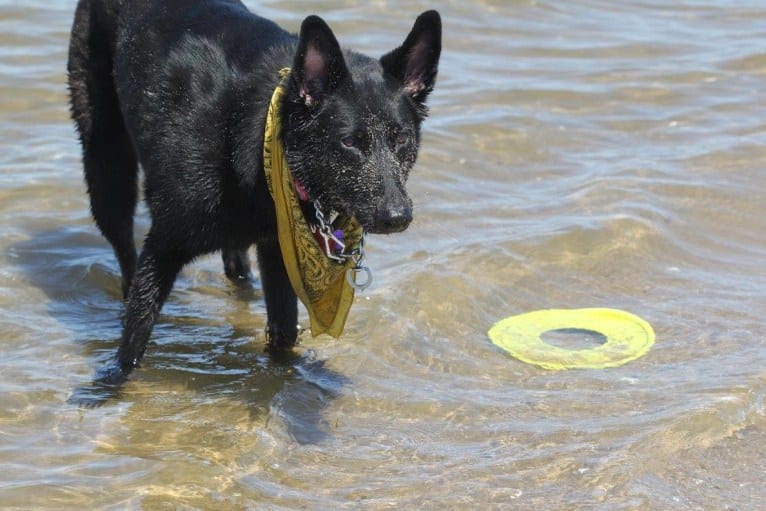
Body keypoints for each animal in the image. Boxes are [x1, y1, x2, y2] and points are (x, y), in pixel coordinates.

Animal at [69, 0, 440, 386]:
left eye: (401, 139)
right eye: (350, 141)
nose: (397, 216)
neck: (252, 136)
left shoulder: (277, 248)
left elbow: (284, 331)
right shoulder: (162, 247)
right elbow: (134, 338)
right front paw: (112, 384)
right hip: (107, 167)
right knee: (125, 253)